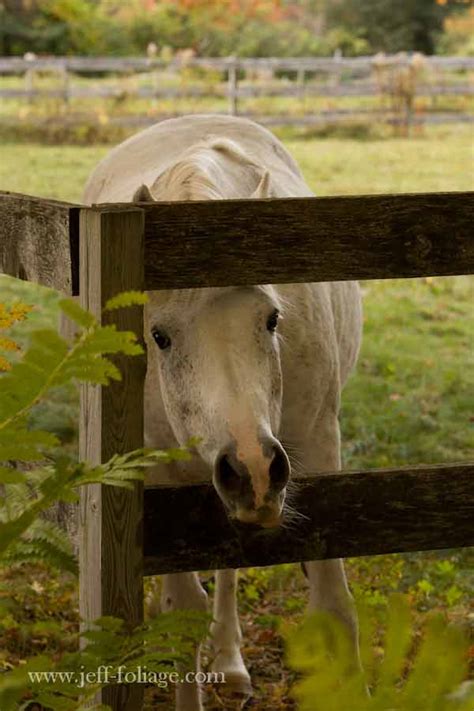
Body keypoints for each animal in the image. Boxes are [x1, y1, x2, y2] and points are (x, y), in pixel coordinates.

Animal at [83, 114, 362, 708]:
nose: (253, 468)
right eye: (159, 337)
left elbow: (333, 604)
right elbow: (181, 613)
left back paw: (231, 660)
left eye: (272, 319)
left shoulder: (316, 447)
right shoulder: (158, 475)